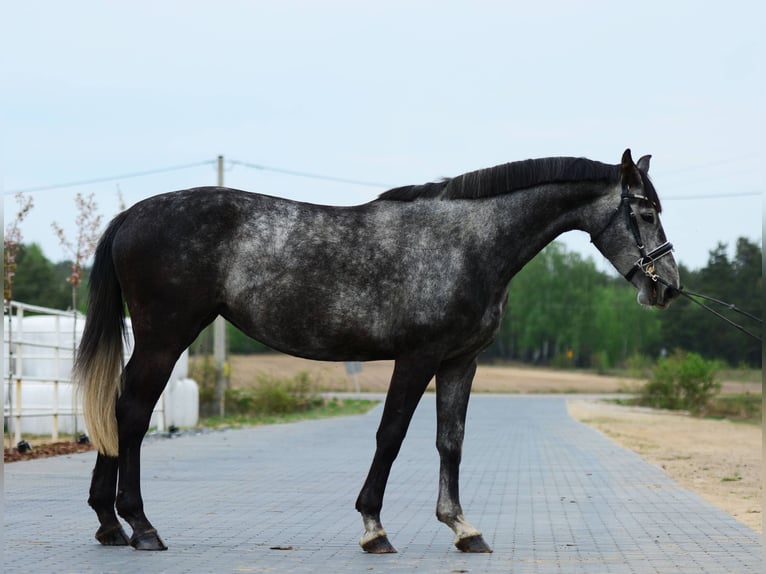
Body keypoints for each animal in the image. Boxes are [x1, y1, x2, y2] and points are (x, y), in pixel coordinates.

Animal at [75, 149, 679, 554]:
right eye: (646, 212)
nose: (668, 287)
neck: (467, 243)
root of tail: (130, 215)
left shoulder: (461, 361)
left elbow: (451, 441)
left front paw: (463, 528)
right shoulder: (417, 358)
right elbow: (391, 435)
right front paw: (374, 528)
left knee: (119, 411)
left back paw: (109, 524)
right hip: (165, 338)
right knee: (131, 414)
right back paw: (141, 527)